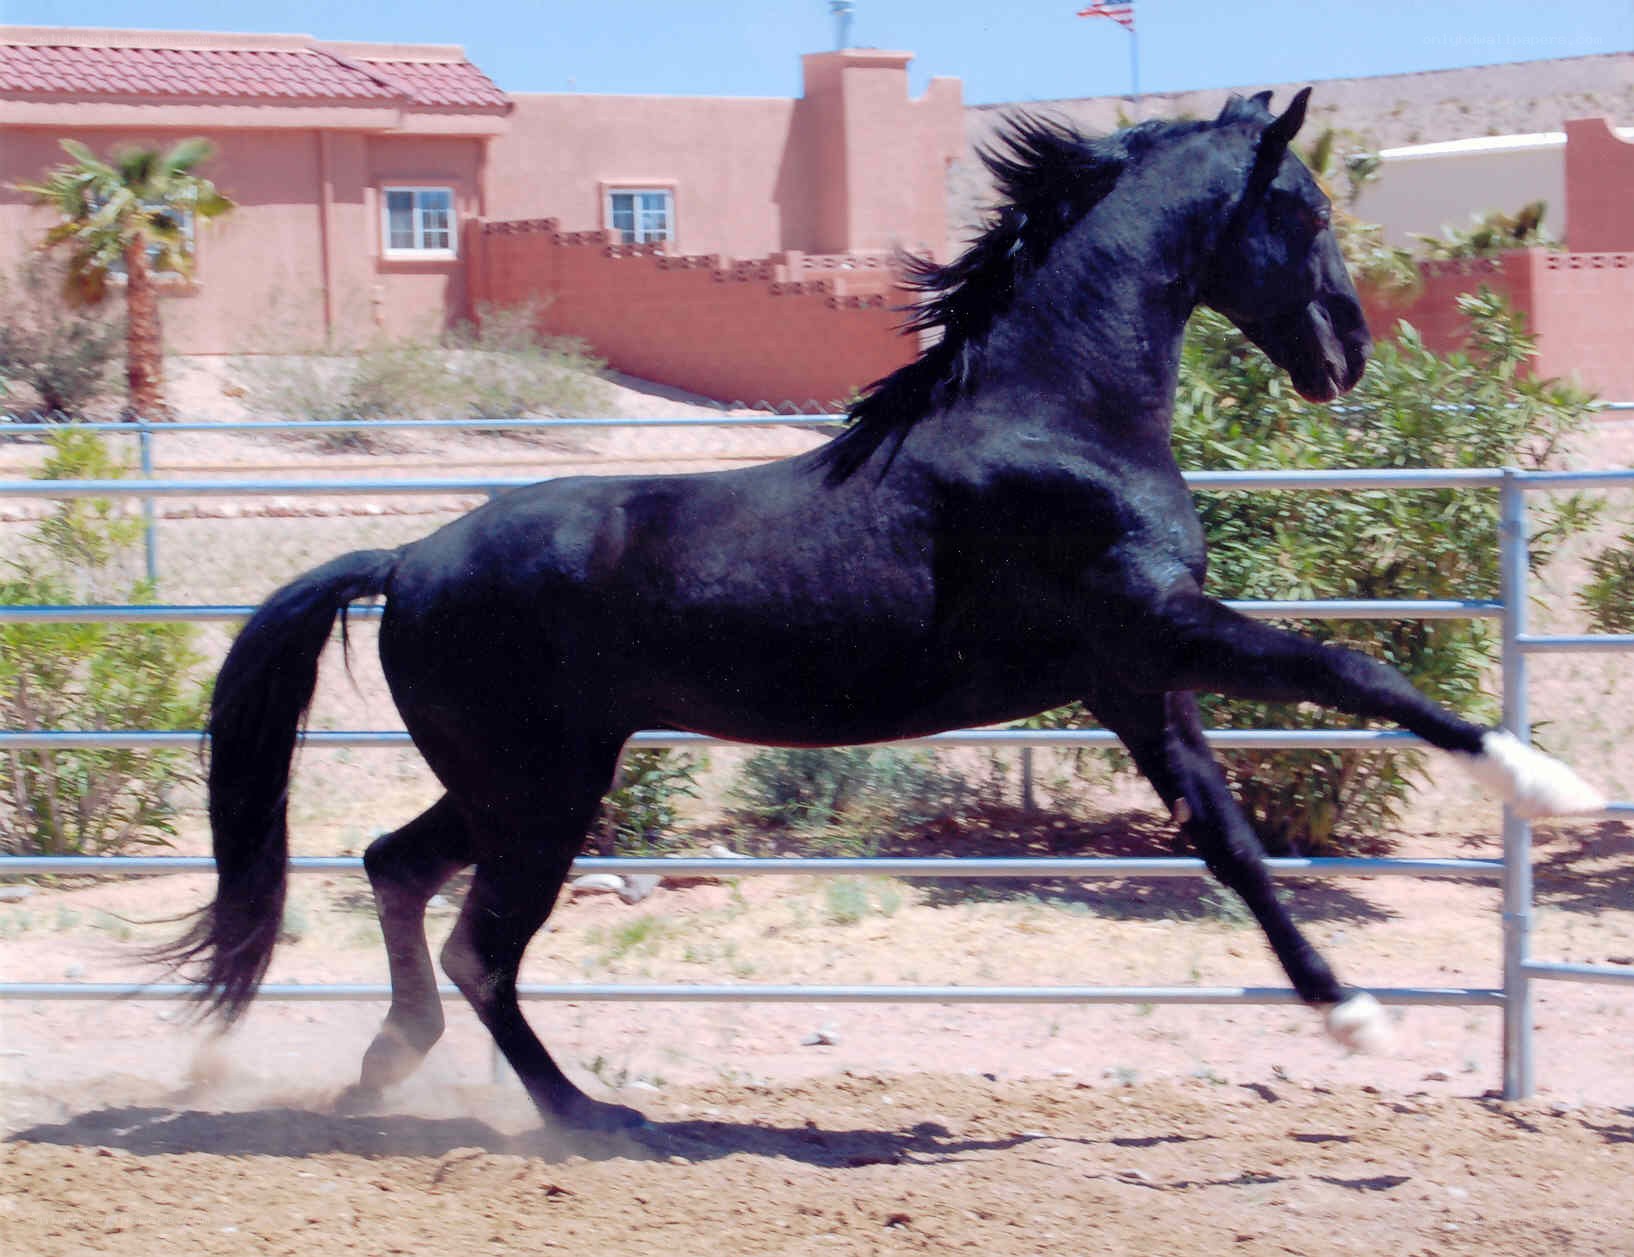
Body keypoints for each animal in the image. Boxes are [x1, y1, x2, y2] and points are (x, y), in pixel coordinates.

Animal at [161, 89, 1604, 1132]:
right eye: (1298, 211)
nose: (1344, 352)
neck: (1053, 412)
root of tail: (404, 558)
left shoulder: (1134, 681)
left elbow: (1232, 844)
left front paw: (1351, 1014)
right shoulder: (1160, 632)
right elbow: (1349, 670)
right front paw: (1551, 786)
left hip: (513, 779)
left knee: (394, 870)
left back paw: (382, 1071)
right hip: (543, 788)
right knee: (480, 950)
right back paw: (594, 1118)